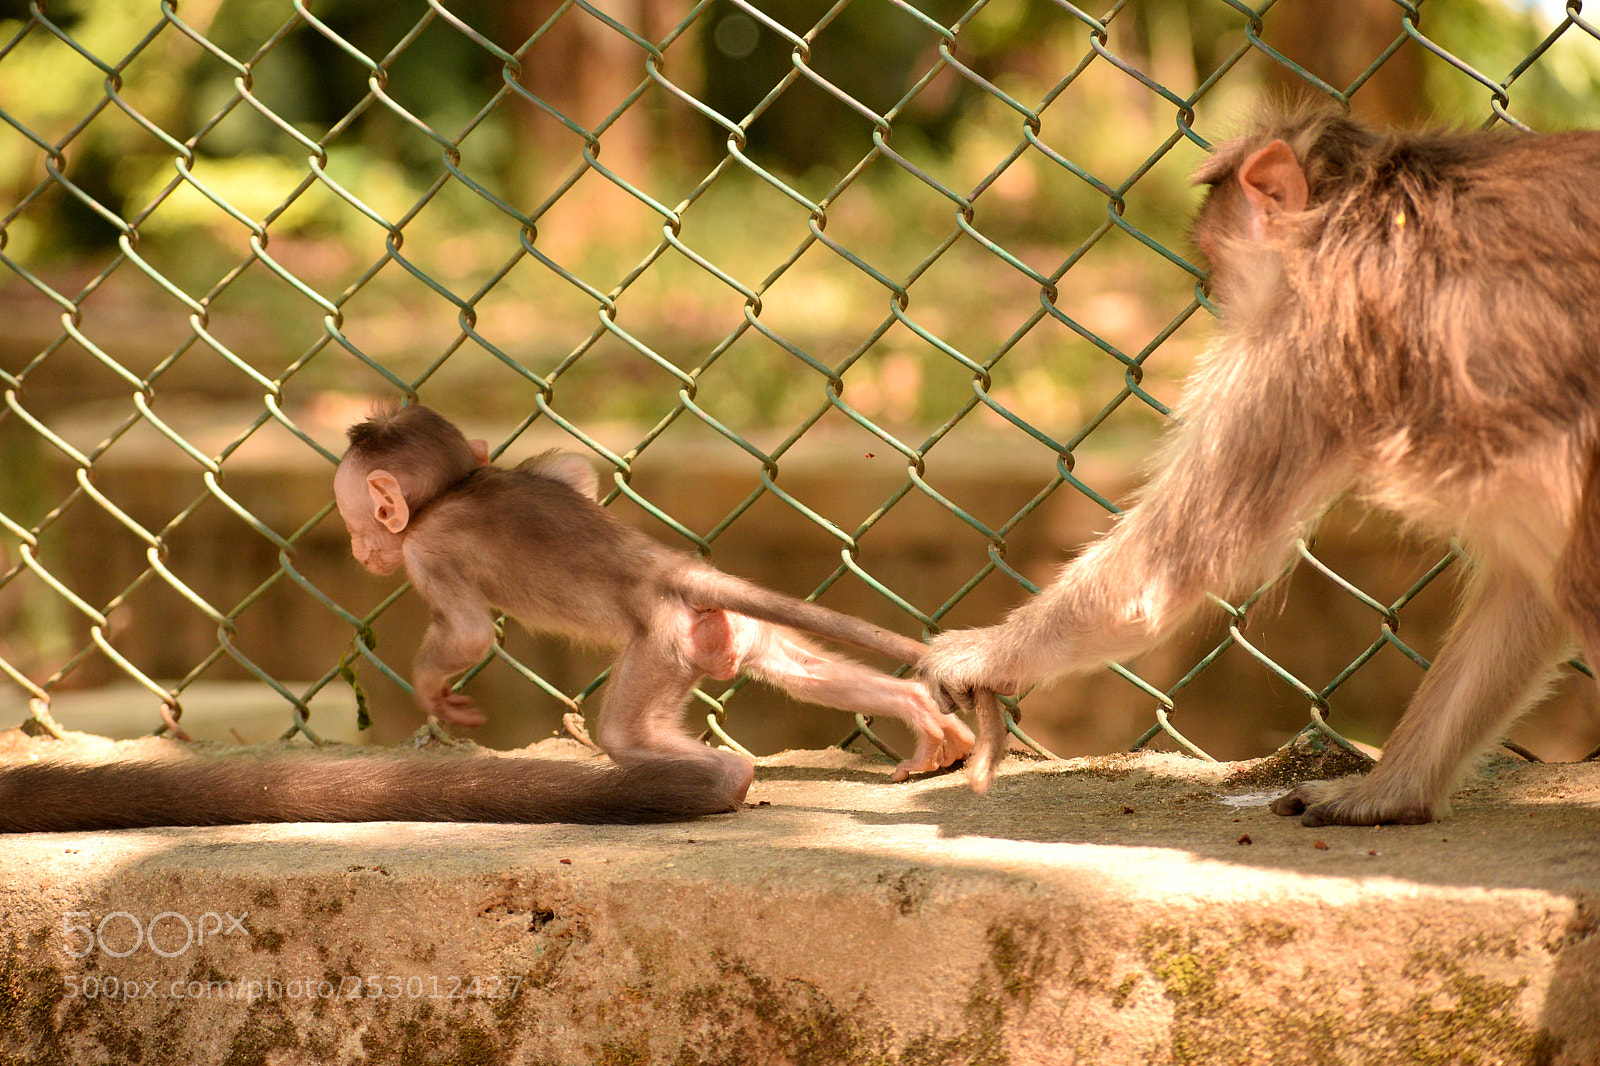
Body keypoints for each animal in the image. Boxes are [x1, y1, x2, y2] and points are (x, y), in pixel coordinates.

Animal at [920, 106, 1600, 826]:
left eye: (1219, 256)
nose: (1220, 301)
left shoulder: (1299, 344)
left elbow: (1156, 578)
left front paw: (982, 656)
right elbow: (1526, 587)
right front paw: (1388, 793)